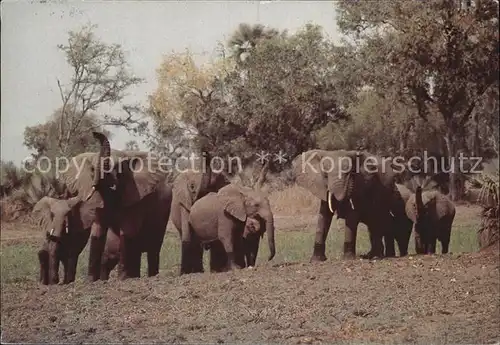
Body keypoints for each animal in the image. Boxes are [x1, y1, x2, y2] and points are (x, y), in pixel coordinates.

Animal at [61, 132, 171, 280]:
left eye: (118, 171)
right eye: (92, 170)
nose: (95, 133)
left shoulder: (136, 199)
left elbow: (127, 232)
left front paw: (121, 280)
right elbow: (97, 233)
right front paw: (91, 281)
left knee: (153, 249)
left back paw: (149, 277)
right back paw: (133, 277)